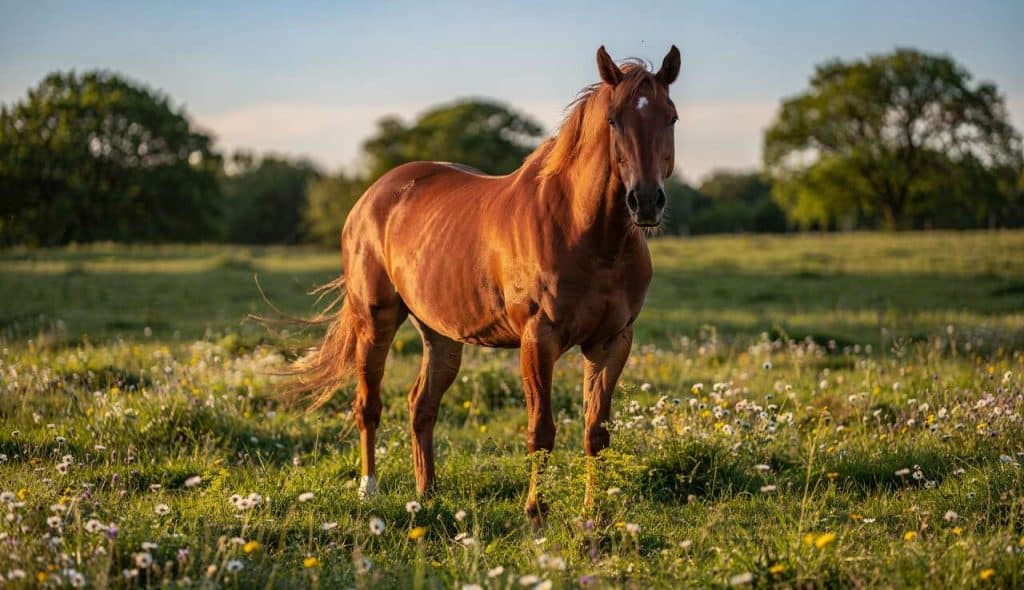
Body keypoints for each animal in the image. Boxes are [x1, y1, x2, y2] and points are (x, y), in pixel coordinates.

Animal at [285, 45, 681, 519]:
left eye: (671, 117)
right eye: (613, 120)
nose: (646, 201)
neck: (590, 236)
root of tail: (371, 197)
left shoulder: (612, 342)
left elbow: (596, 433)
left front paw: (593, 513)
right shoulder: (538, 339)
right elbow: (541, 431)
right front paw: (535, 512)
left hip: (440, 335)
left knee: (421, 406)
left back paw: (428, 493)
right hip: (374, 321)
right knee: (369, 405)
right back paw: (370, 490)